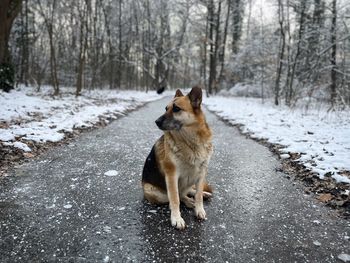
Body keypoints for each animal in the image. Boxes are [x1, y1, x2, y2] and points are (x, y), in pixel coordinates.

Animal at [141, 87, 212, 230]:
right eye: (165, 108)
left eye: (176, 109)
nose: (156, 122)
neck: (191, 143)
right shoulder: (172, 175)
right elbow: (175, 199)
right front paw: (176, 219)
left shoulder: (201, 173)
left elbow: (198, 195)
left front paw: (199, 209)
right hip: (155, 193)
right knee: (179, 195)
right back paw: (189, 202)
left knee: (188, 191)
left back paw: (201, 195)